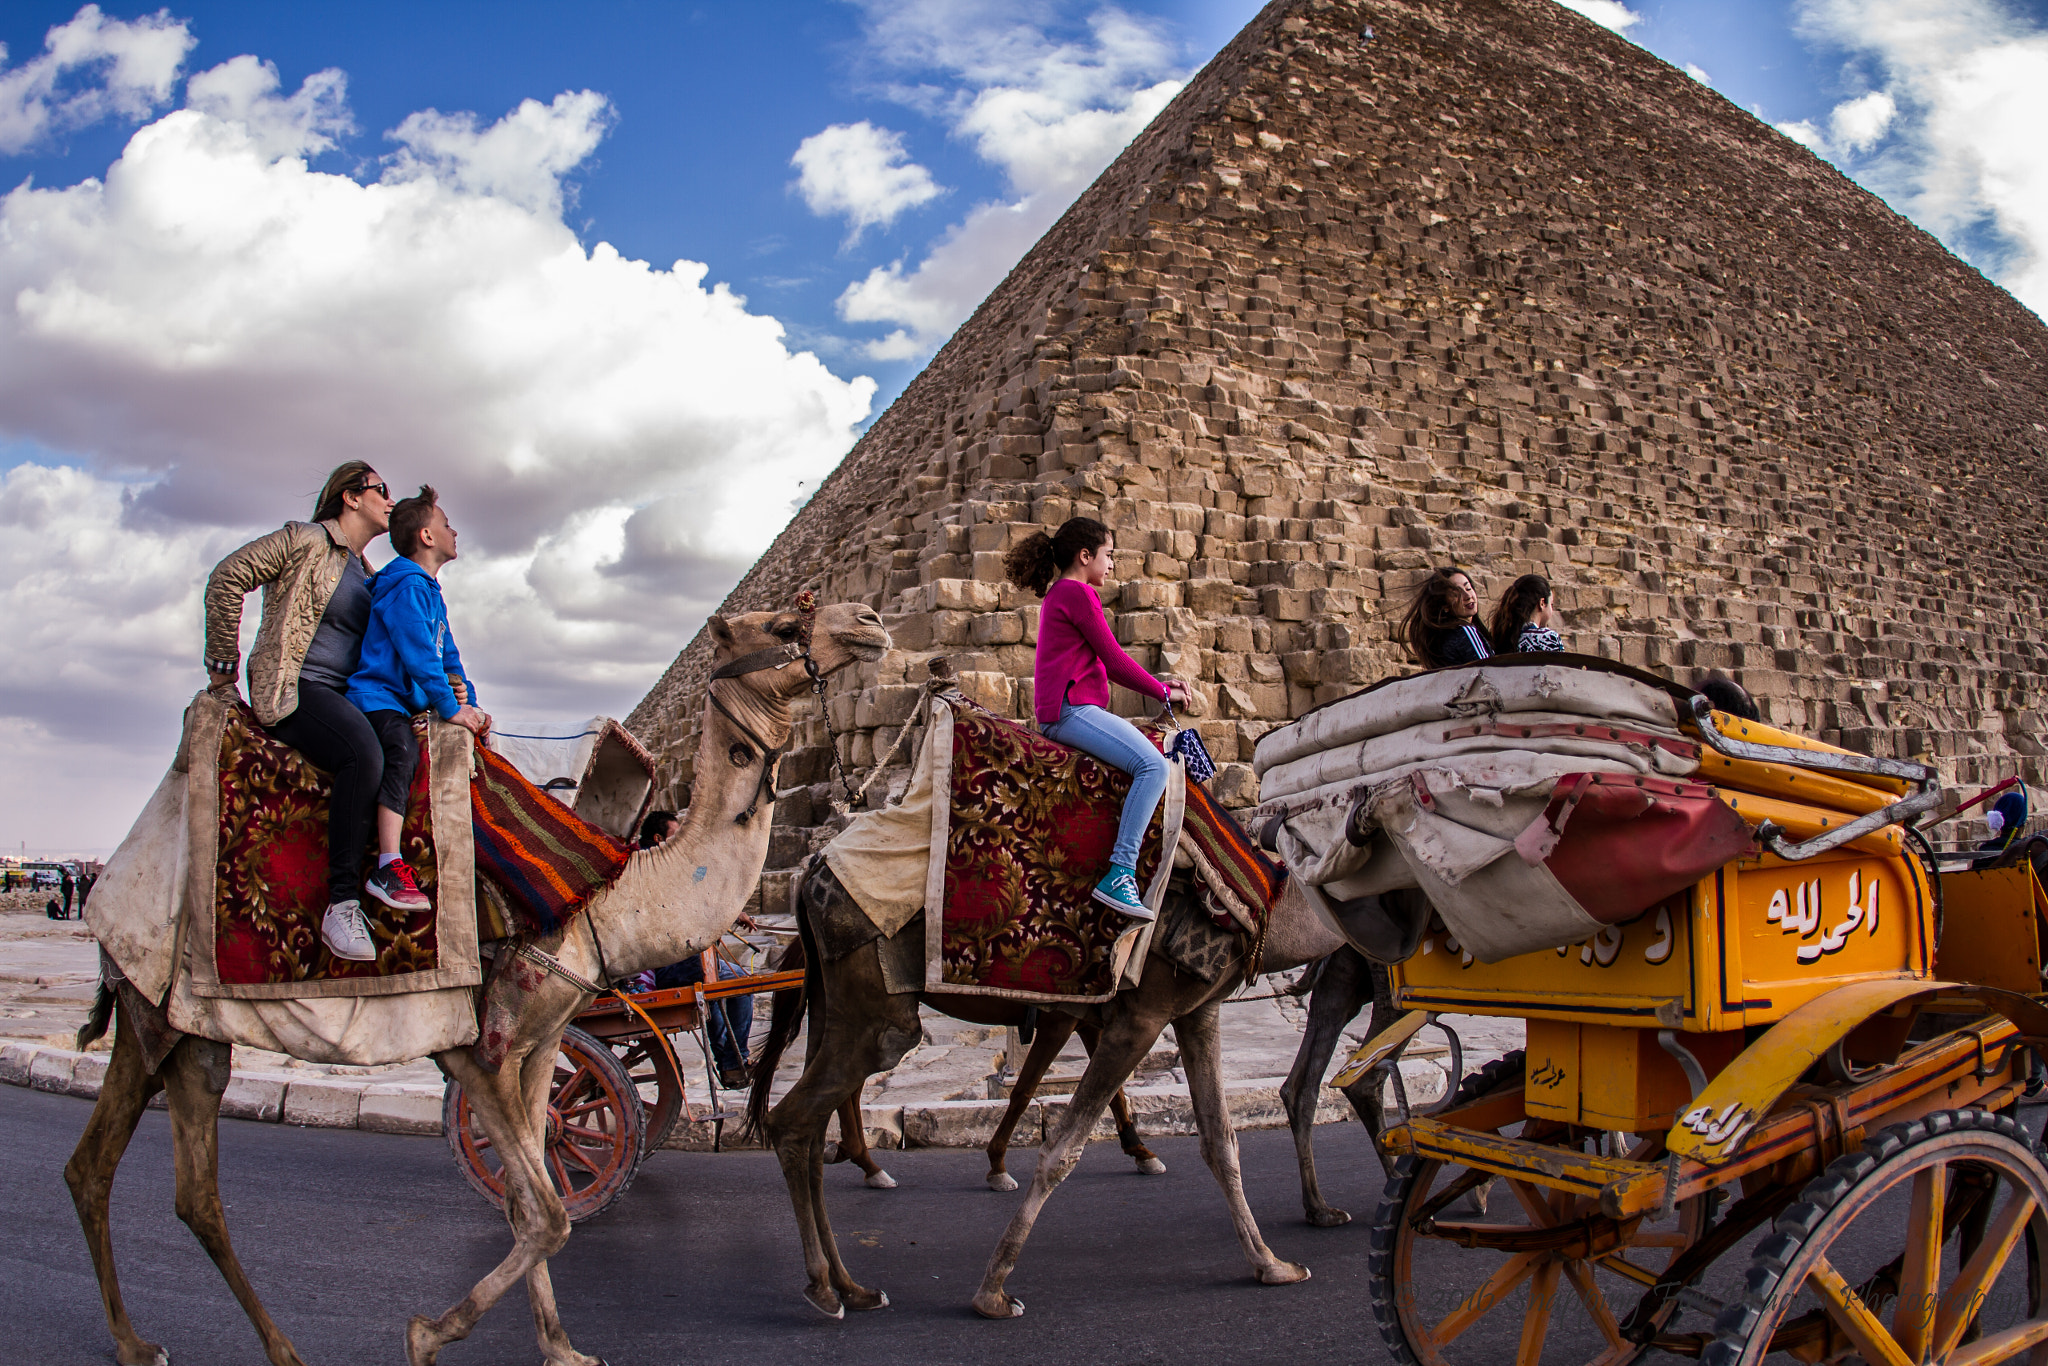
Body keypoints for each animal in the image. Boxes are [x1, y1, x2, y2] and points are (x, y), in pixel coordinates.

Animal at [68, 598, 884, 1366]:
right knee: (139, 1178)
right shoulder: (482, 1050)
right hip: (155, 1011)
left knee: (155, 1184)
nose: (871, 623)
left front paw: (559, 1347)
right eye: (785, 624)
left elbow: (538, 1200)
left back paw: (204, 1346)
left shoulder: (541, 1045)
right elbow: (547, 1214)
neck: (610, 900)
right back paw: (191, 1346)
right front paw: (427, 1335)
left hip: (191, 1035)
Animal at [749, 860, 1343, 1318]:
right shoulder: (1128, 1013)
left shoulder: (1188, 1012)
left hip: (834, 1008)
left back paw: (853, 1278)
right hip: (874, 1015)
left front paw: (1272, 1263)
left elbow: (1219, 1140)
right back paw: (828, 1279)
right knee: (796, 1117)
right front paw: (994, 1288)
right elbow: (1057, 1131)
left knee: (815, 1120)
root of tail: (808, 882)